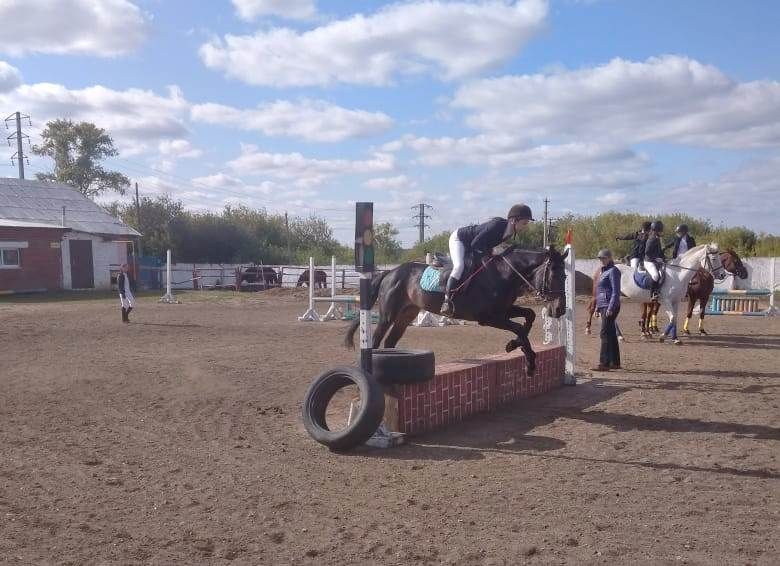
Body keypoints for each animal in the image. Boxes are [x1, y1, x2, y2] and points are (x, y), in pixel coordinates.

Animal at [342, 246, 568, 374]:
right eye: (552, 274)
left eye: (565, 276)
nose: (559, 310)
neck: (504, 274)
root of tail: (390, 272)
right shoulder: (489, 317)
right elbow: (520, 328)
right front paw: (528, 363)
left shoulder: (503, 311)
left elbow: (529, 316)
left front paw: (514, 345)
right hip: (388, 315)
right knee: (376, 340)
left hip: (406, 315)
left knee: (389, 341)